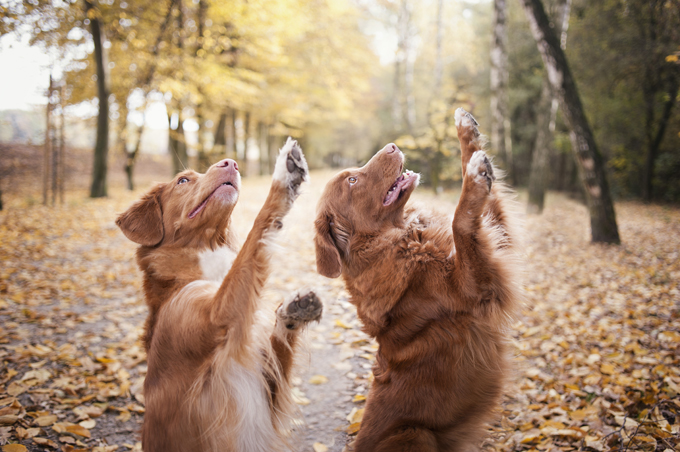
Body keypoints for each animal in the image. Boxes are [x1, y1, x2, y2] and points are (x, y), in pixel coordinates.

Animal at [115, 139, 322, 452]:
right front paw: (283, 178)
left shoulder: (270, 389)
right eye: (183, 180)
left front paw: (294, 310)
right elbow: (257, 229)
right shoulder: (217, 315)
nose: (231, 162)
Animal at [314, 110, 520, 452]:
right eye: (352, 180)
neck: (399, 237)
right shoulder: (475, 286)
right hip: (415, 433)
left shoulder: (496, 240)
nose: (393, 146)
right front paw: (475, 177)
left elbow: (477, 211)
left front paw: (467, 133)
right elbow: (461, 220)